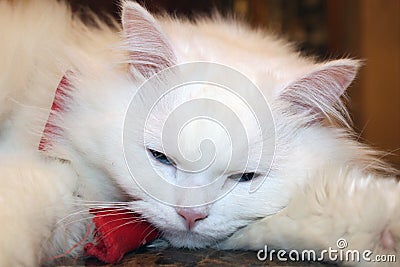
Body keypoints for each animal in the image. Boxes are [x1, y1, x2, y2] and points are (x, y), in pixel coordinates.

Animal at [0, 1, 398, 266]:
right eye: (160, 157)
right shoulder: (54, 179)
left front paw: (385, 237)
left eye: (245, 177)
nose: (191, 216)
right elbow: (20, 220)